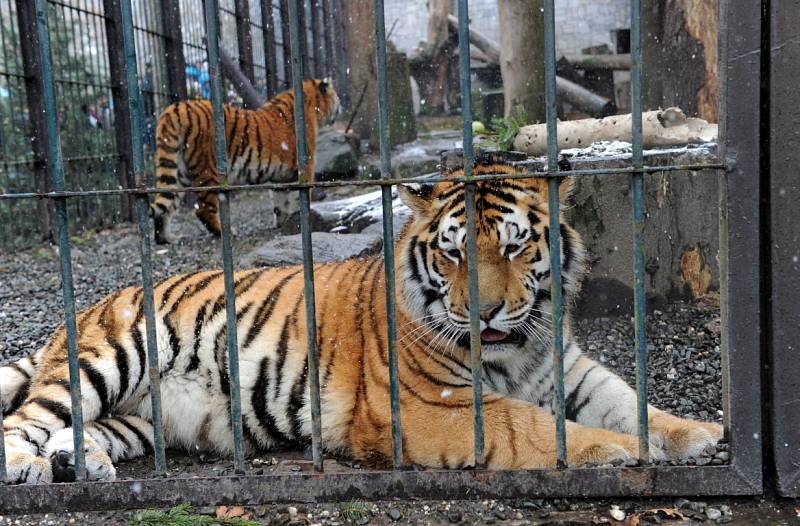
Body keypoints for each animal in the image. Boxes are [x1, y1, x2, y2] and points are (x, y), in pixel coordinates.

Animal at [0, 164, 720, 482]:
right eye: (454, 252)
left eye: (515, 248)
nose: (483, 310)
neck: (517, 349)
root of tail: (79, 313)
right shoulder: (433, 403)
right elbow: (532, 427)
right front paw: (619, 452)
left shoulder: (569, 370)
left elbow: (632, 400)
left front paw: (700, 435)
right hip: (108, 357)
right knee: (23, 422)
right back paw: (29, 467)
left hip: (144, 418)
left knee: (80, 430)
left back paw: (80, 464)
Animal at [150, 77, 340, 246]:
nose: (340, 107)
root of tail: (175, 108)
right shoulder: (305, 166)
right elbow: (300, 195)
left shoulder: (281, 177)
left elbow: (280, 202)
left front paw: (283, 223)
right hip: (208, 170)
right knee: (203, 209)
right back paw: (225, 232)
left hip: (178, 172)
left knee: (166, 205)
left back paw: (167, 239)